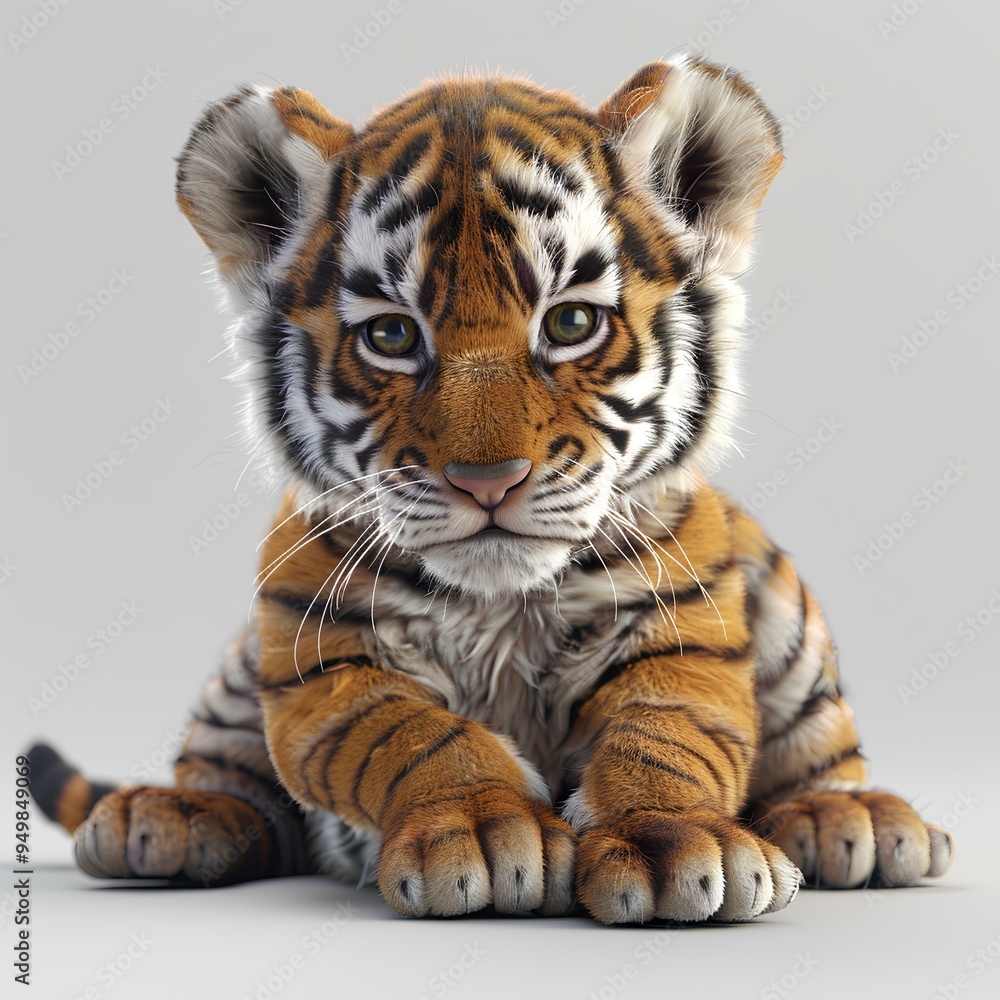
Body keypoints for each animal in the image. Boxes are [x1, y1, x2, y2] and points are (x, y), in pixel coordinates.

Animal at [29, 55, 954, 925]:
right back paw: (169, 816)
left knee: (822, 748)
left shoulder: (687, 634)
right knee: (227, 770)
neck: (504, 600)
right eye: (392, 336)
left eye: (571, 323)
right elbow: (415, 736)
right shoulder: (319, 659)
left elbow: (663, 737)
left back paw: (852, 819)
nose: (488, 482)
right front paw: (482, 829)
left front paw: (675, 841)